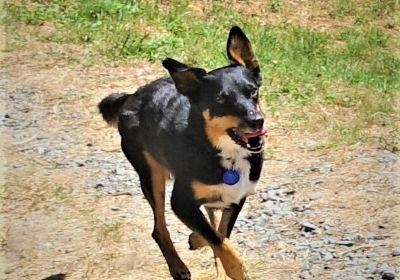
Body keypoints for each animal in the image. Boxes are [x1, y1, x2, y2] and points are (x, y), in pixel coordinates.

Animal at [98, 26, 266, 280]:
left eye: (252, 91)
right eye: (221, 100)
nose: (257, 121)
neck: (221, 153)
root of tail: (133, 95)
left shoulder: (236, 197)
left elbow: (219, 232)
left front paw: (198, 240)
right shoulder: (181, 202)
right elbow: (217, 237)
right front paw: (236, 267)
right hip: (151, 176)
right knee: (158, 228)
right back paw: (177, 266)